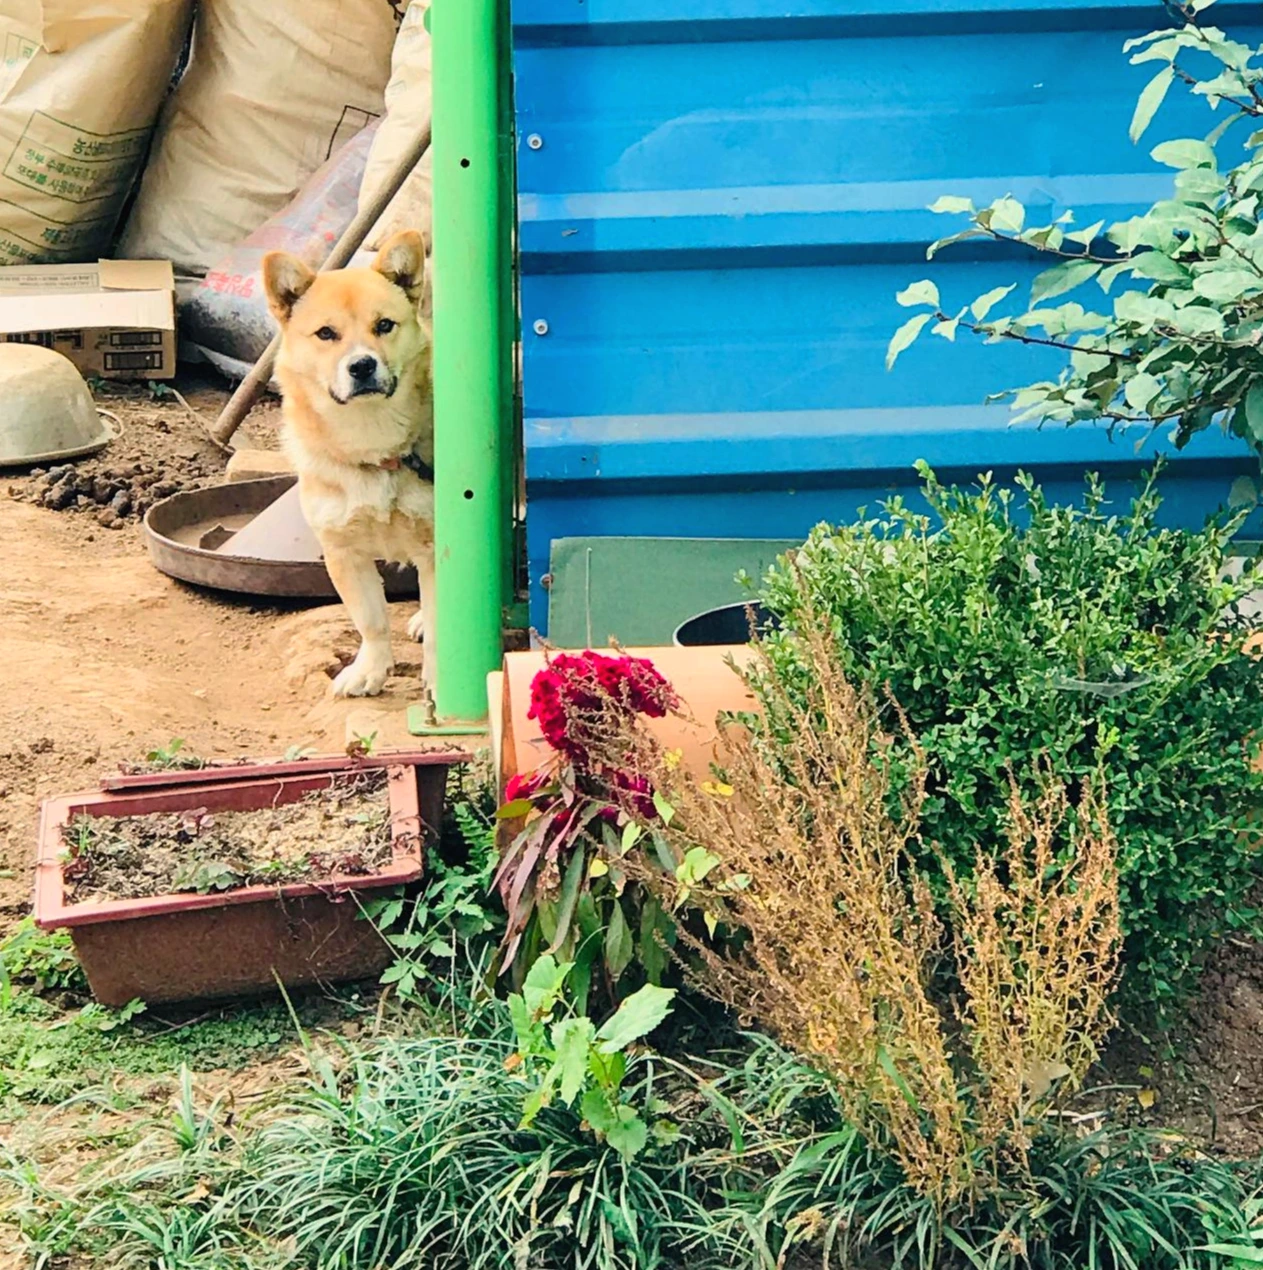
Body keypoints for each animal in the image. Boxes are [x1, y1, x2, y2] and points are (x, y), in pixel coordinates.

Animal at [262, 230, 435, 700]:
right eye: (326, 333)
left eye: (384, 326)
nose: (361, 365)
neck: (373, 445)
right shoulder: (343, 552)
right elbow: (371, 621)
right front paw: (370, 671)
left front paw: (440, 681)